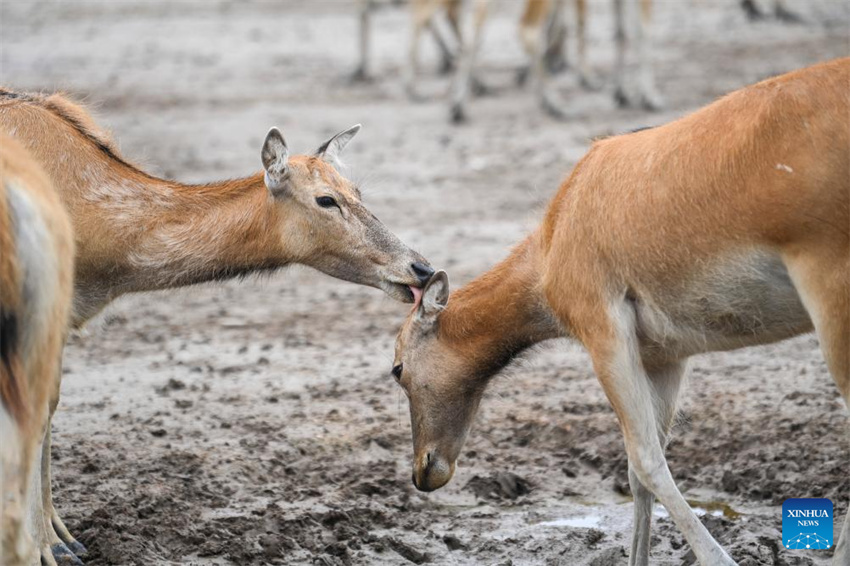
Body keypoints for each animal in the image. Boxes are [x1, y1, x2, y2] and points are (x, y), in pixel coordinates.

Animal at [0, 88, 434, 565]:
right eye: (325, 199)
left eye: (356, 190)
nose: (421, 268)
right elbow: (36, 415)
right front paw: (49, 547)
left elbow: (50, 408)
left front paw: (66, 539)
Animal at [391, 57, 849, 565]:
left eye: (398, 368)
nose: (424, 471)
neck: (558, 232)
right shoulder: (665, 356)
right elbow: (639, 469)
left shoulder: (604, 334)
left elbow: (646, 459)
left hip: (832, 299)